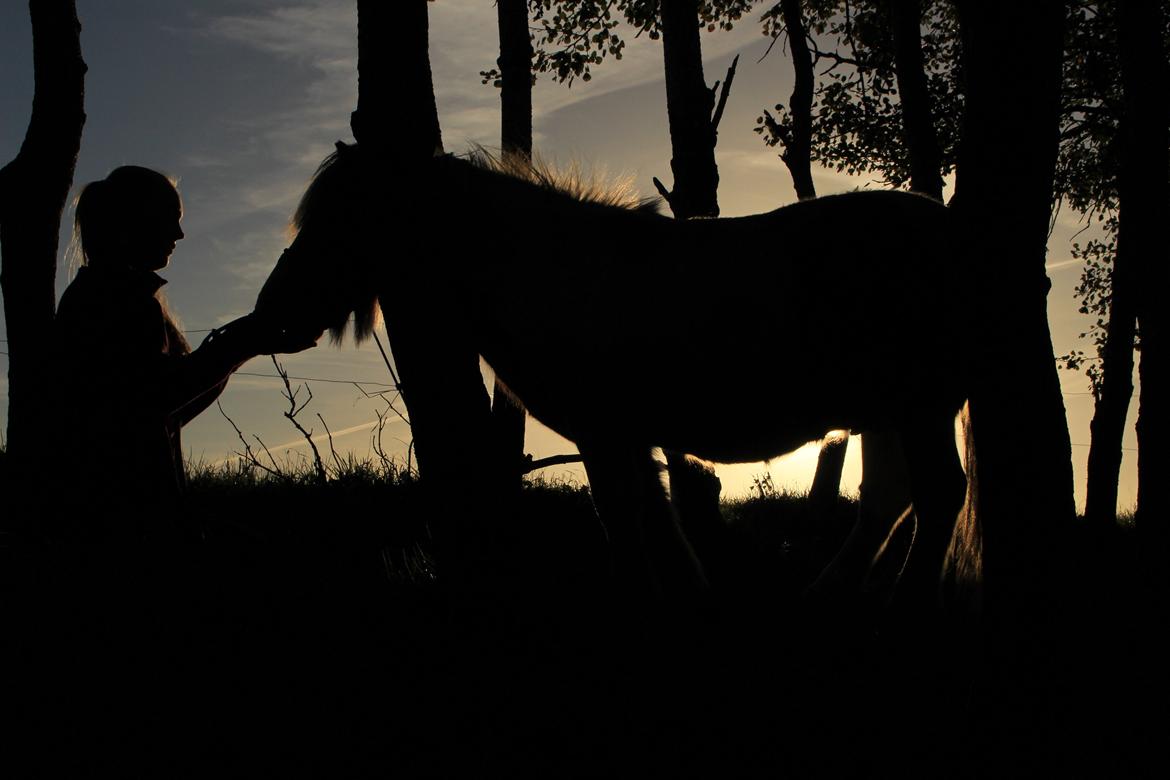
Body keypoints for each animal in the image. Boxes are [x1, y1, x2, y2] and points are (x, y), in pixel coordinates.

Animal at [260, 142, 973, 603]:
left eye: (346, 217)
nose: (272, 310)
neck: (554, 273)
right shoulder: (629, 435)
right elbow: (658, 519)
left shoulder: (602, 432)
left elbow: (623, 520)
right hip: (887, 411)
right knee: (887, 501)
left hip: (920, 406)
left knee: (938, 495)